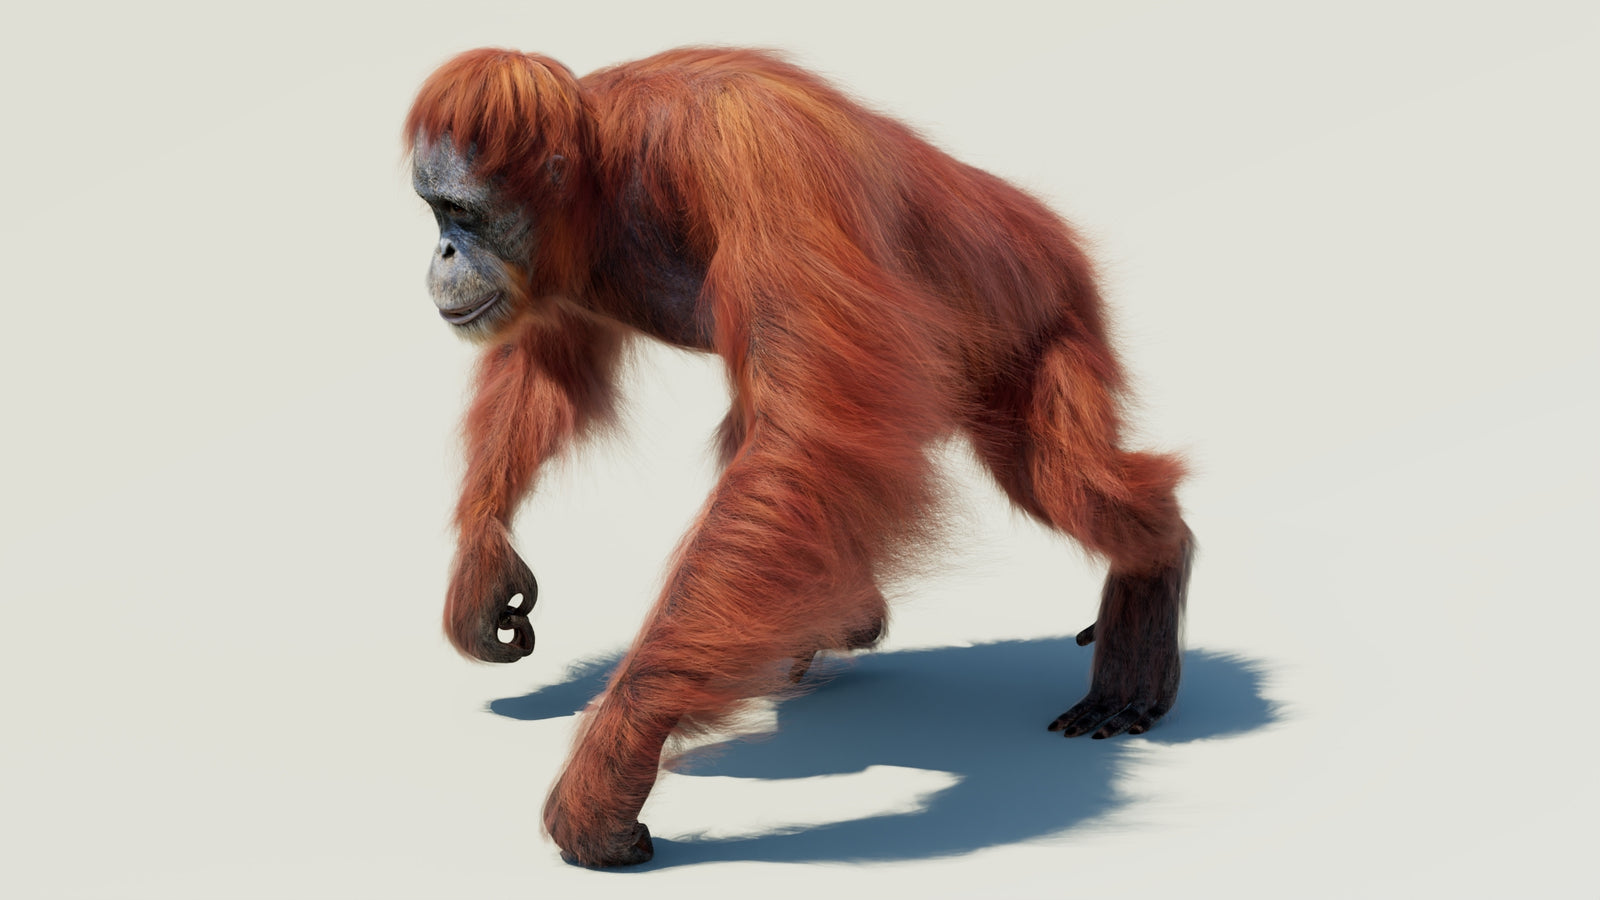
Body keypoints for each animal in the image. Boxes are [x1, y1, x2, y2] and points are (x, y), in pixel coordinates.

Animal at [405, 46, 1193, 867]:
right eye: (435, 211)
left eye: (462, 212)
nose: (443, 251)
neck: (610, 175)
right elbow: (546, 365)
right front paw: (481, 569)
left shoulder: (761, 154)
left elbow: (803, 434)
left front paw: (611, 761)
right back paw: (845, 612)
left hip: (1045, 322)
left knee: (1060, 482)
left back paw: (1151, 576)